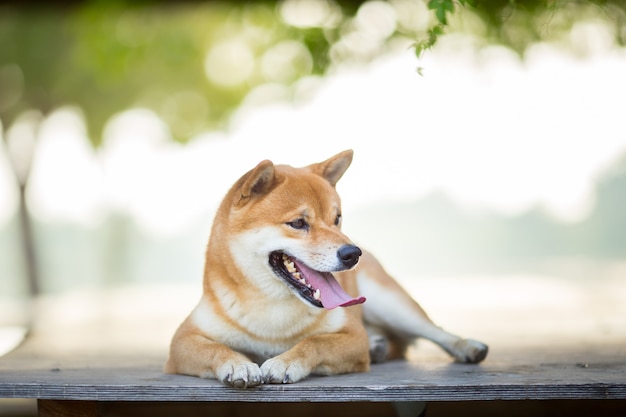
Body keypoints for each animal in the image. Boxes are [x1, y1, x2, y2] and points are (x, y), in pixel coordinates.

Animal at [166, 149, 488, 386]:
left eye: (337, 218)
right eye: (298, 223)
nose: (352, 253)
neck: (272, 313)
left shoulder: (353, 337)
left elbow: (315, 342)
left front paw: (285, 362)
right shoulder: (182, 341)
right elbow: (215, 348)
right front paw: (238, 365)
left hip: (391, 303)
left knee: (434, 330)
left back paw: (467, 347)